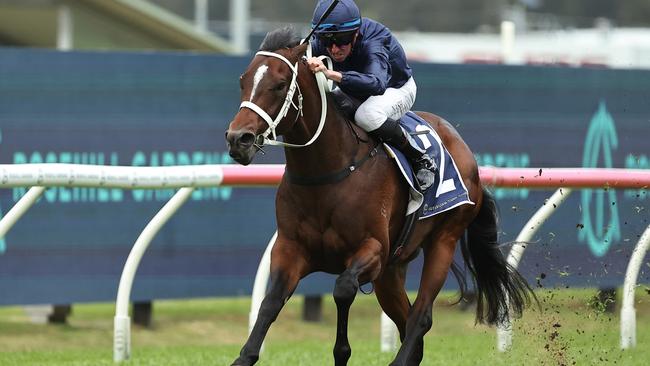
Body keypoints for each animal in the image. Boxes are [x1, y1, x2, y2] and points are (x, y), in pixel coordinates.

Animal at [224, 27, 532, 366]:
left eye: (280, 84)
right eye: (243, 80)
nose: (239, 139)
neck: (329, 171)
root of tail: (465, 149)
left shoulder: (372, 249)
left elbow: (343, 288)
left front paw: (342, 352)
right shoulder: (290, 249)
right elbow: (271, 301)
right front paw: (244, 357)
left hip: (443, 240)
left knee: (421, 317)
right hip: (391, 271)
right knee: (407, 321)